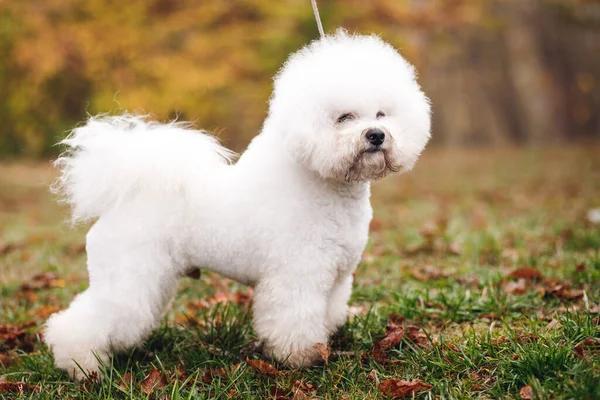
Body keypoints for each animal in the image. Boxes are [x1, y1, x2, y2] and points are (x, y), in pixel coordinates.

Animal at [47, 30, 432, 378]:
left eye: (381, 115)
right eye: (344, 118)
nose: (376, 136)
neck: (322, 184)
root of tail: (125, 196)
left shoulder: (335, 278)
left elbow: (327, 311)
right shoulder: (297, 275)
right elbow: (294, 320)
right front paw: (300, 358)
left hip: (153, 280)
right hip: (129, 277)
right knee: (84, 320)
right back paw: (82, 367)